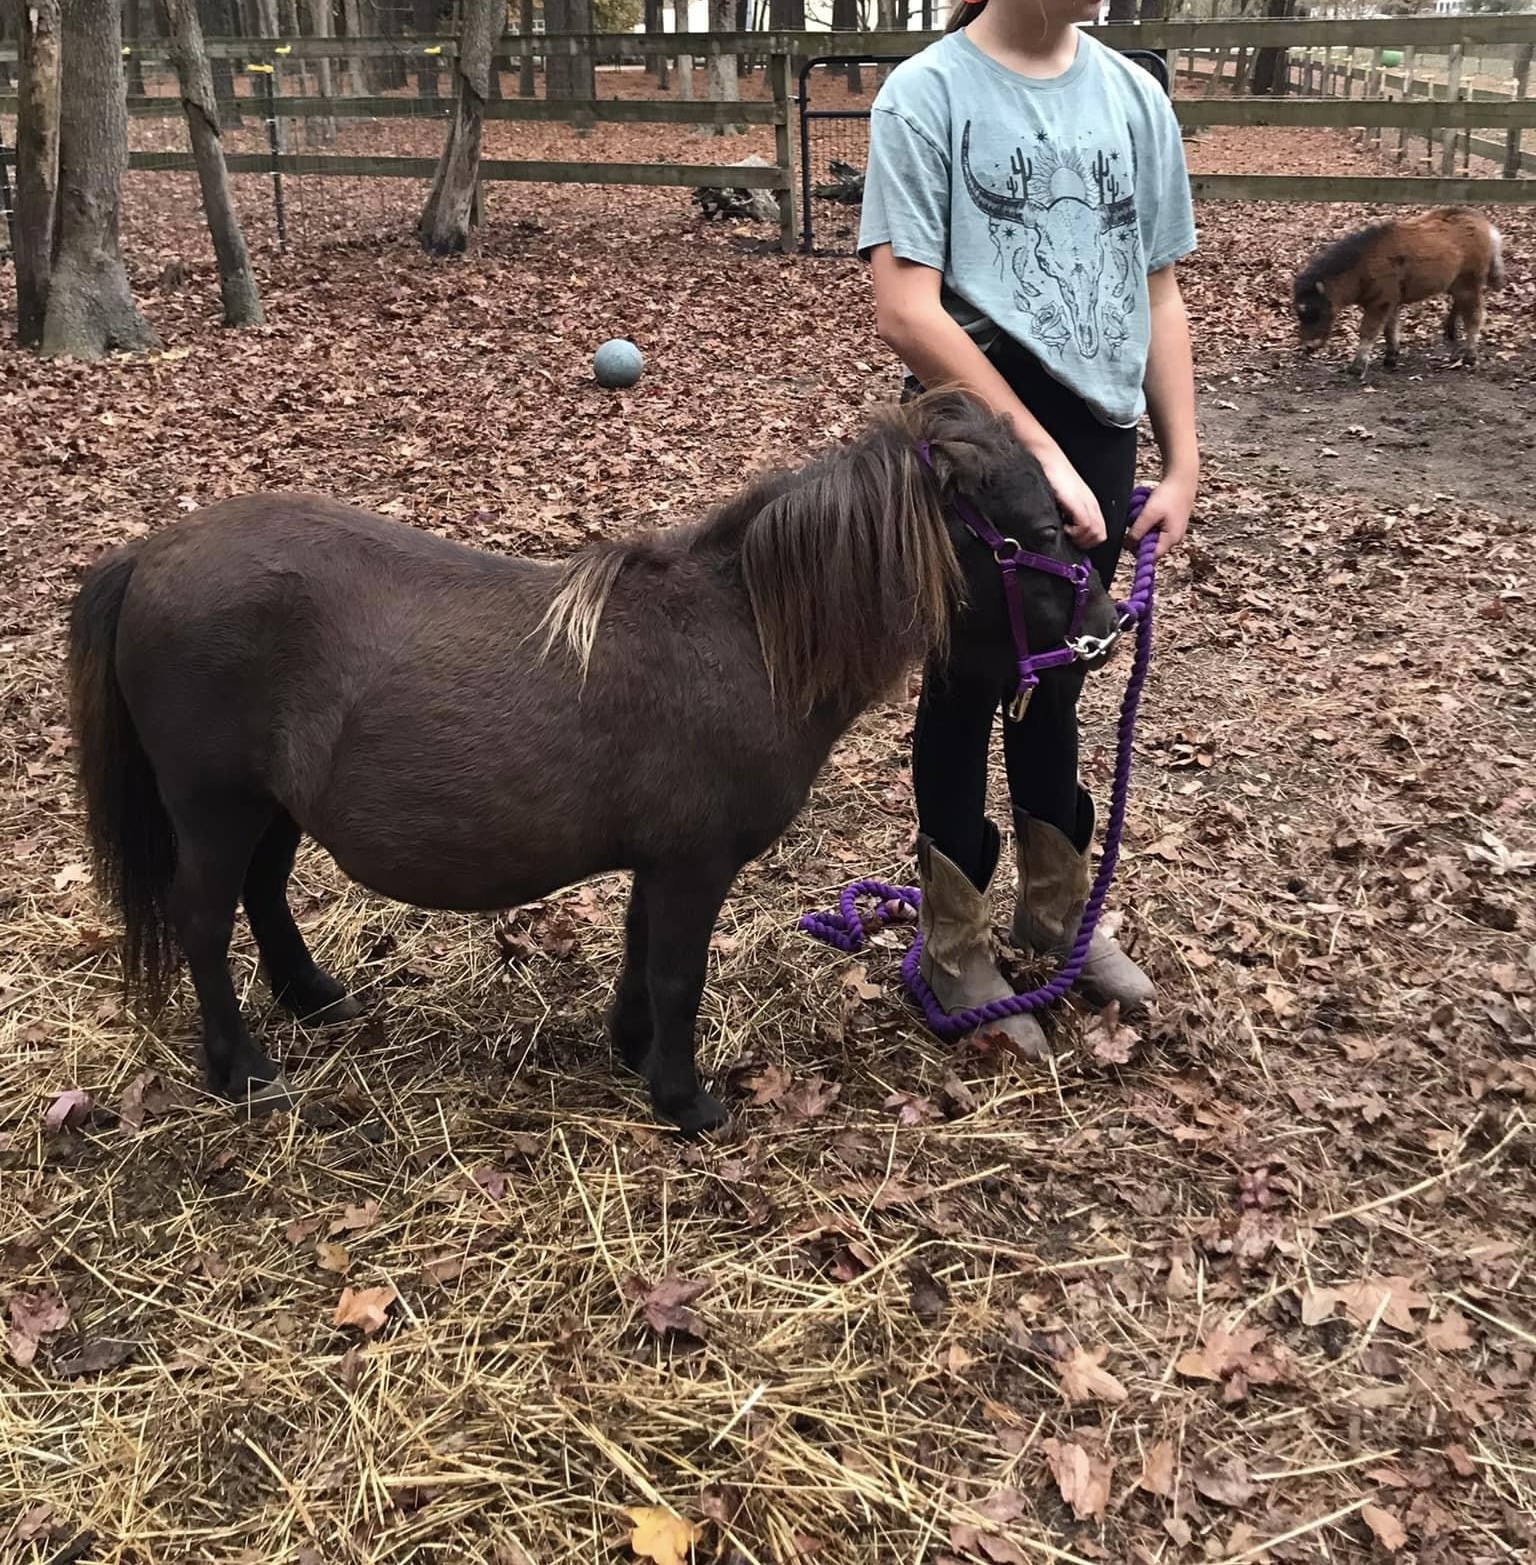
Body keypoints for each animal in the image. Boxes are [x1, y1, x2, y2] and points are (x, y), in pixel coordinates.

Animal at [67, 391, 1119, 1135]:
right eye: (1034, 535)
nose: (1109, 631)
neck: (742, 632)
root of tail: (149, 555)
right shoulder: (695, 865)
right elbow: (678, 970)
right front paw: (687, 1101)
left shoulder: (662, 862)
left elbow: (641, 952)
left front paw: (634, 1051)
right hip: (214, 806)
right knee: (204, 919)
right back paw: (242, 1069)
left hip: (272, 806)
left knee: (264, 894)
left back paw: (312, 997)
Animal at [1292, 207, 1505, 379]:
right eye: (1299, 313)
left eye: (1317, 312)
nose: (1307, 347)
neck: (1364, 264)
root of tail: (1485, 224)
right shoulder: (1390, 301)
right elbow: (1390, 328)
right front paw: (1390, 358)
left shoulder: (1379, 303)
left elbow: (1369, 331)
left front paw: (1357, 368)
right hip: (1456, 283)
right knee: (1459, 304)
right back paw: (1450, 332)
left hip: (1470, 284)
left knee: (1474, 317)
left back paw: (1470, 356)